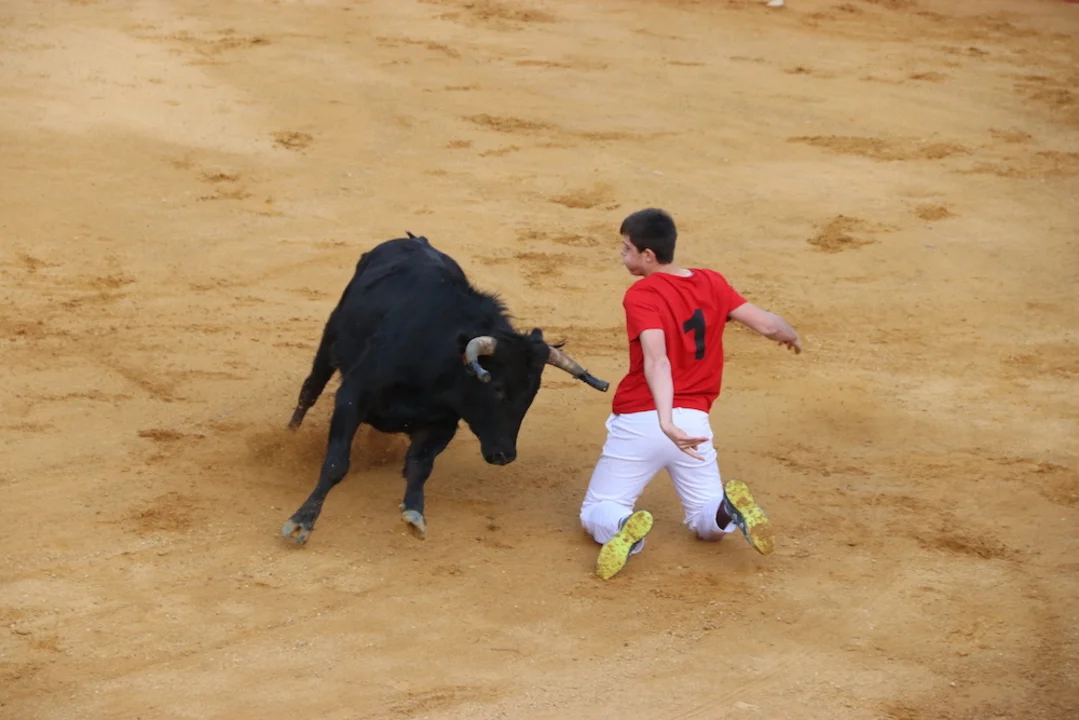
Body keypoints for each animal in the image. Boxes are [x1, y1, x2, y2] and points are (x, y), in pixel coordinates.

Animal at [281, 232, 610, 545]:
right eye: (498, 389)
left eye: (532, 394)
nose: (504, 455)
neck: (436, 363)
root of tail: (413, 240)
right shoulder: (353, 397)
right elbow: (336, 464)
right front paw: (302, 521)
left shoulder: (442, 423)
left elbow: (419, 466)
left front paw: (414, 513)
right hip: (330, 339)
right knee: (310, 390)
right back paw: (290, 435)